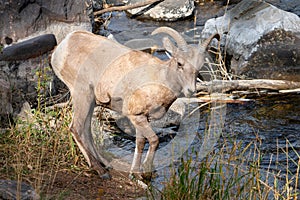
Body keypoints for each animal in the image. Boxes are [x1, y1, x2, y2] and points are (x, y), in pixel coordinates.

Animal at [51, 26, 220, 178]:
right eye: (179, 63)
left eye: (199, 67)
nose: (191, 90)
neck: (159, 78)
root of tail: (64, 45)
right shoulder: (136, 116)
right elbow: (154, 140)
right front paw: (146, 172)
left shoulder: (142, 119)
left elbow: (140, 142)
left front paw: (135, 173)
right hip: (82, 95)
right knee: (76, 128)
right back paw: (100, 171)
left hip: (91, 101)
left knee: (86, 130)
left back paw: (104, 164)